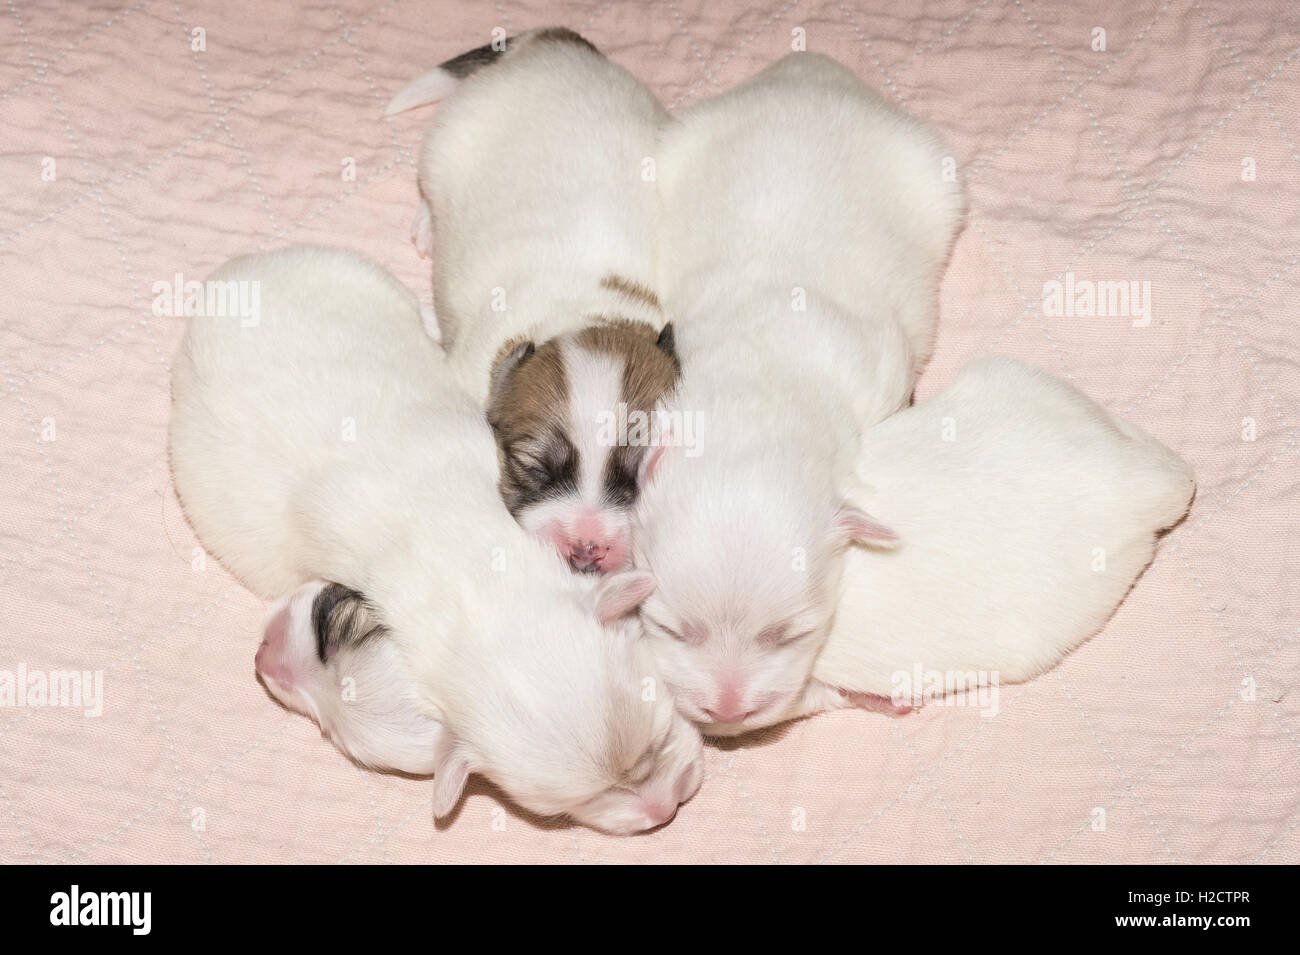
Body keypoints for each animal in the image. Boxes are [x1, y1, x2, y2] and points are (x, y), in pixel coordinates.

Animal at [382, 27, 676, 574]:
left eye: (636, 478)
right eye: (534, 466)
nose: (587, 549)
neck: (583, 313)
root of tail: (554, 40)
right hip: (448, 141)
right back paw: (428, 226)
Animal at [639, 52, 967, 738]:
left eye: (790, 633)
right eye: (673, 628)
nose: (726, 711)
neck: (758, 398)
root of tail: (807, 68)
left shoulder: (879, 371)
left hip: (931, 170)